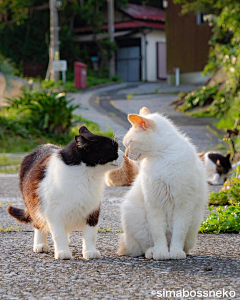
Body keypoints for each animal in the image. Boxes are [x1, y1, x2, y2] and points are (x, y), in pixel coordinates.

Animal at [7, 125, 124, 258]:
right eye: (114, 148)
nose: (124, 155)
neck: (86, 176)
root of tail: (41, 146)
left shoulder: (93, 210)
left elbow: (90, 234)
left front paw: (90, 251)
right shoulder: (53, 213)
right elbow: (58, 233)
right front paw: (62, 251)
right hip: (33, 202)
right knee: (38, 222)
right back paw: (40, 244)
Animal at [118, 107, 208, 260]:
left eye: (129, 144)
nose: (126, 155)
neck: (163, 155)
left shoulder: (183, 206)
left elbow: (178, 234)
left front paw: (176, 252)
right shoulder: (154, 204)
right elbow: (158, 234)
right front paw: (161, 253)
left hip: (194, 223)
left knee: (181, 244)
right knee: (144, 247)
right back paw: (154, 252)